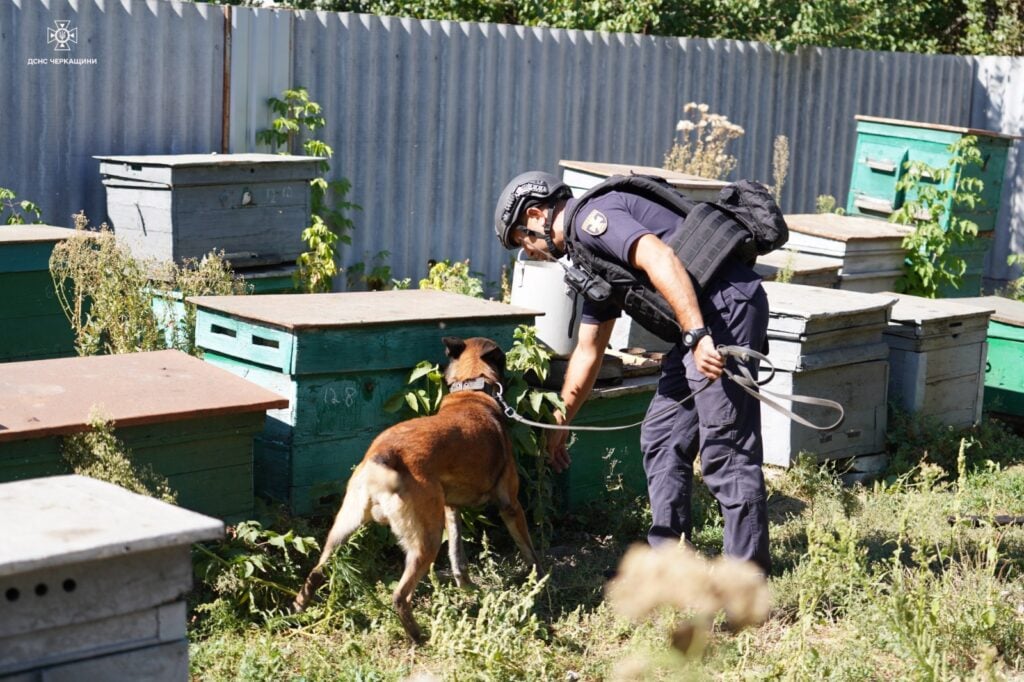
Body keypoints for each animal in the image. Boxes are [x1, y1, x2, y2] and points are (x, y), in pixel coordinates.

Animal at [292, 337, 540, 638]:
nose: (520, 375)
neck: (471, 391)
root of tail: (384, 455)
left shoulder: (450, 508)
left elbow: (457, 555)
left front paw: (467, 587)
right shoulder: (510, 505)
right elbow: (528, 549)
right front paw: (538, 582)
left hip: (342, 529)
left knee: (316, 571)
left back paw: (298, 610)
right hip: (427, 540)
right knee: (400, 595)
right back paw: (419, 637)